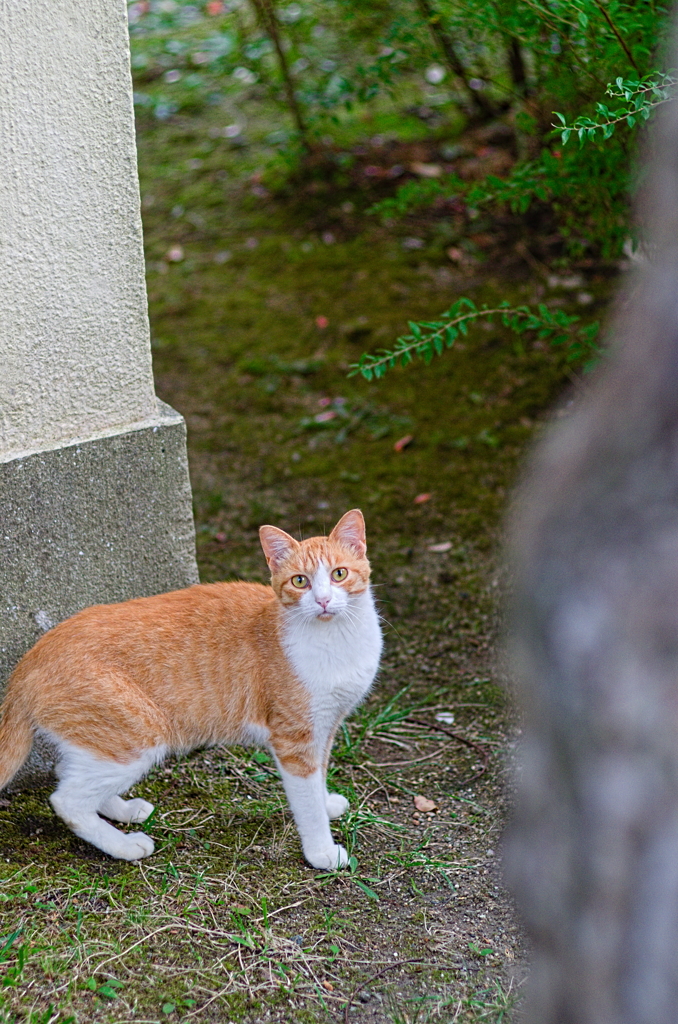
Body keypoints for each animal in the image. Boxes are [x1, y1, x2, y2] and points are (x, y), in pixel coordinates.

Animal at [0, 507, 383, 868]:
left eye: (338, 574)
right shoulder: (294, 737)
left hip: (99, 744)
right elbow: (307, 801)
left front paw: (326, 802)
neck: (335, 640)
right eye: (300, 581)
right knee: (66, 800)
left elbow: (319, 776)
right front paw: (321, 852)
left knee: (69, 774)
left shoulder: (326, 726)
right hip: (137, 735)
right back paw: (124, 846)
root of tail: (30, 659)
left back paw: (123, 810)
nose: (322, 601)